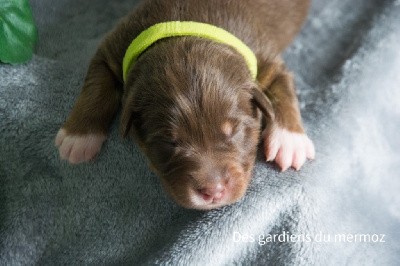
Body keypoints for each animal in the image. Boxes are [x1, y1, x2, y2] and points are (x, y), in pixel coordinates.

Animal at [54, 0, 314, 210]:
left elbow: (282, 89)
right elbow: (96, 87)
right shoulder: (113, 48)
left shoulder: (267, 60)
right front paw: (79, 136)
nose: (213, 192)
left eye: (234, 131)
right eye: (169, 141)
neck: (187, 27)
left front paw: (290, 140)